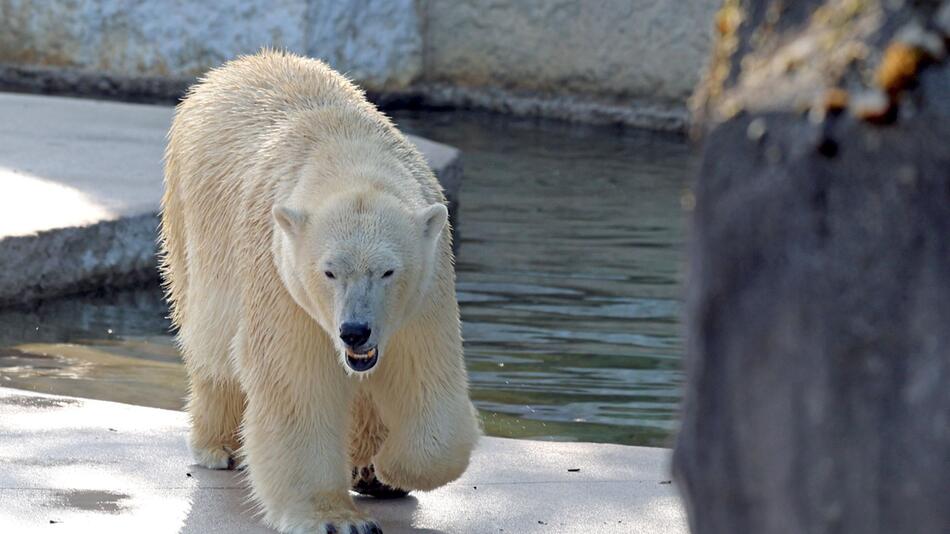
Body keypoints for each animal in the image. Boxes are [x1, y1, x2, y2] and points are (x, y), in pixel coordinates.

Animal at [161, 51, 484, 534]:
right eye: (329, 272)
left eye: (388, 271)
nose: (355, 331)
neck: (347, 149)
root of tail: (236, 66)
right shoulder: (281, 275)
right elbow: (297, 383)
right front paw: (337, 518)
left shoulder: (427, 288)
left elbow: (425, 374)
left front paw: (388, 468)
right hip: (190, 221)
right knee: (210, 344)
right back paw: (219, 446)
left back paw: (369, 469)